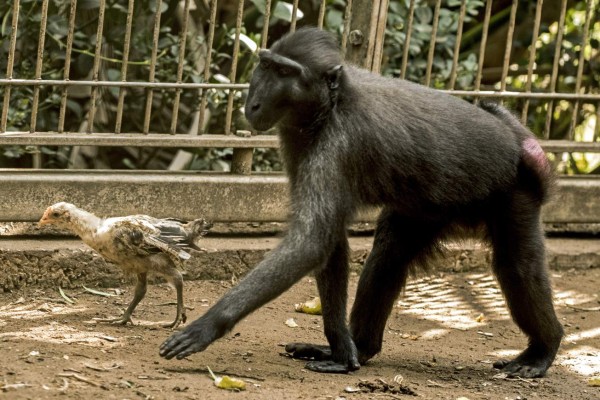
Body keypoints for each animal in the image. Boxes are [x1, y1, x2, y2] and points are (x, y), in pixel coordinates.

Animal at [159, 28, 564, 378]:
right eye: (267, 65)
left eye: (286, 73)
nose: (254, 103)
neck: (333, 103)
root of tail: (518, 141)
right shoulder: (297, 139)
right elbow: (330, 242)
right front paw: (340, 350)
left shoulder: (339, 145)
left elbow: (311, 243)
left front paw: (206, 326)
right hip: (428, 207)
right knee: (388, 256)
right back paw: (365, 346)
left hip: (514, 194)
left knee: (516, 267)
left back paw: (544, 347)